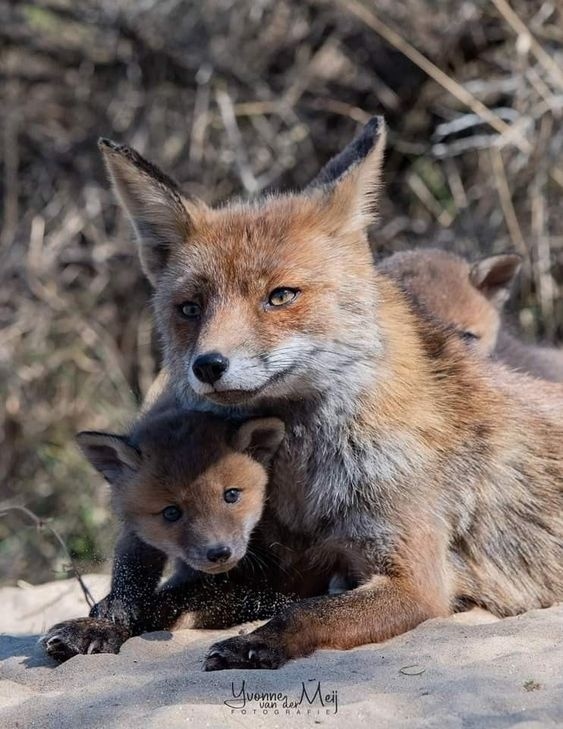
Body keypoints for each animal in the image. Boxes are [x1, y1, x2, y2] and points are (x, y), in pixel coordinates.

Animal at [45, 116, 563, 668]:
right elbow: (160, 600)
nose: (208, 366)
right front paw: (104, 621)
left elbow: (307, 613)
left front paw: (256, 643)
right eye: (190, 308)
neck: (300, 480)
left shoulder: (414, 581)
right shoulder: (259, 560)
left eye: (280, 296)